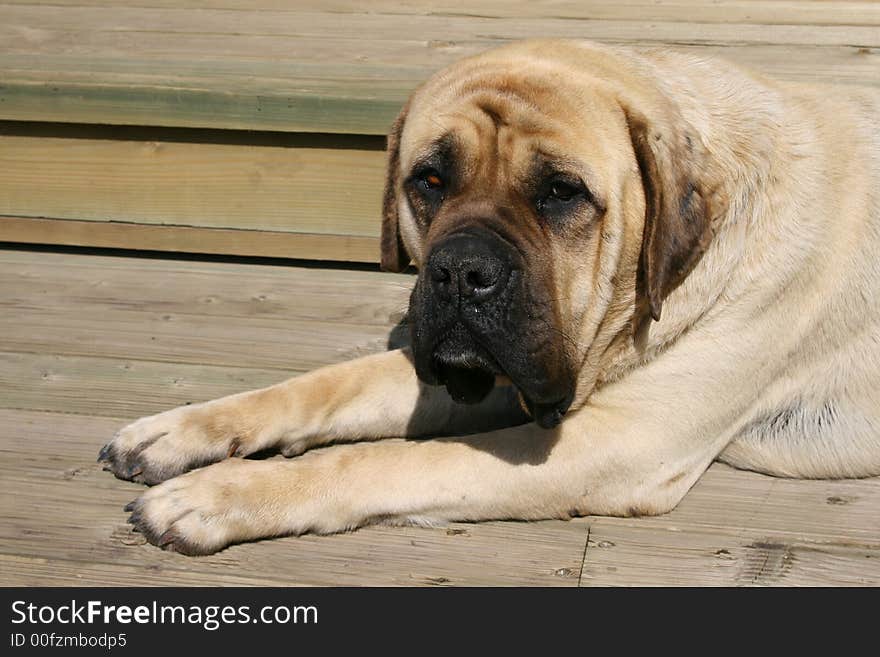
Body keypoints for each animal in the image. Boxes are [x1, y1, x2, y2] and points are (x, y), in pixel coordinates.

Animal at [98, 41, 880, 552]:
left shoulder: (622, 439)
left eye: (563, 193)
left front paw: (220, 494)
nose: (462, 271)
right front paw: (178, 431)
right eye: (429, 180)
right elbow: (327, 385)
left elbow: (387, 460)